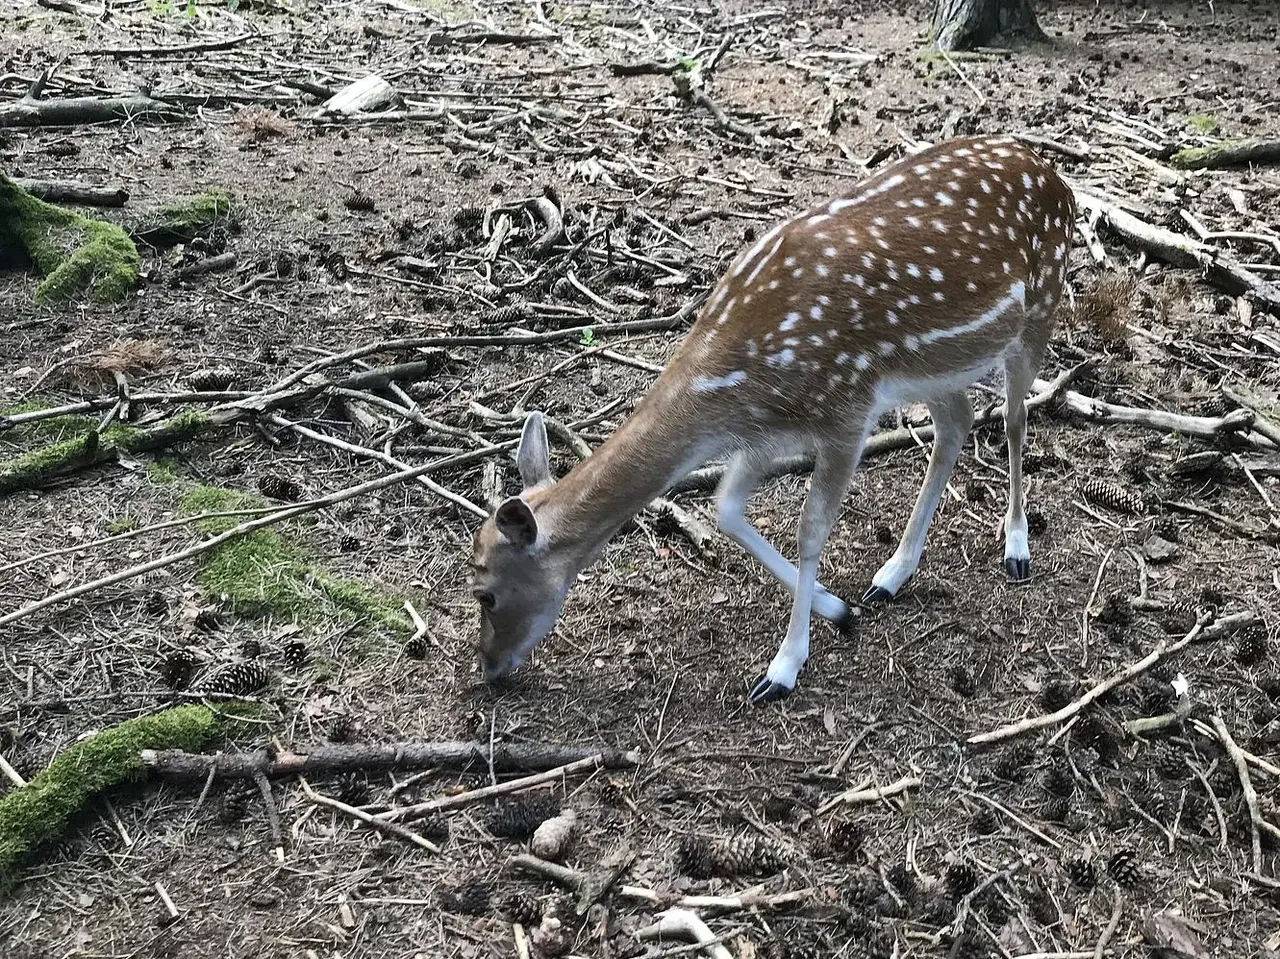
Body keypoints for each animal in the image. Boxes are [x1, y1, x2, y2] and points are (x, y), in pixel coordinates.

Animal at [465, 134, 1075, 701]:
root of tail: (1056, 177)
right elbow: (726, 510)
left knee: (1014, 416)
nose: (490, 669)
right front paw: (838, 606)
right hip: (938, 369)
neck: (737, 379)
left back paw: (1015, 547)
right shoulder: (764, 433)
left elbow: (810, 529)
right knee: (958, 421)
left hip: (1039, 310)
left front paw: (784, 667)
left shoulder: (846, 410)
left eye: (485, 592)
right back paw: (892, 575)